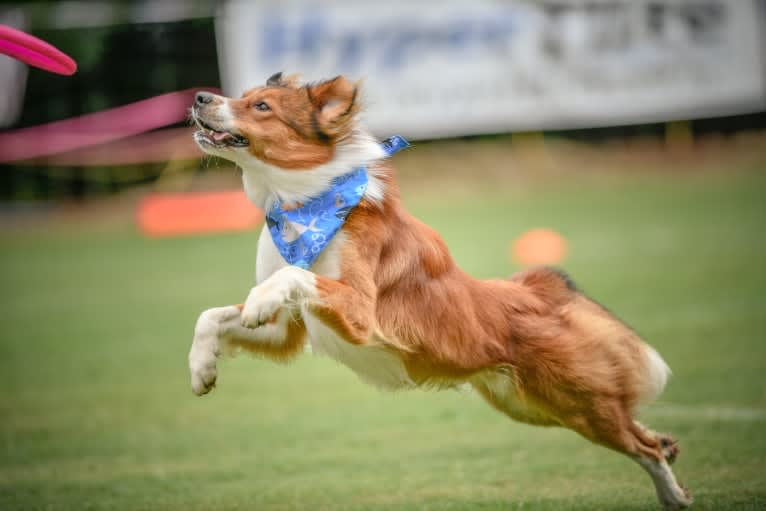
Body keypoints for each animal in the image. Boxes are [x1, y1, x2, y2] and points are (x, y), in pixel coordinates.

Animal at [188, 73, 696, 511]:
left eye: (261, 106)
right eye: (243, 96)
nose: (199, 97)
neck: (305, 206)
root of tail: (538, 290)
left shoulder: (360, 312)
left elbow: (290, 277)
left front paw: (256, 302)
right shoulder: (288, 330)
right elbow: (210, 315)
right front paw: (202, 369)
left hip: (576, 403)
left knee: (641, 445)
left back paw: (675, 494)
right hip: (530, 406)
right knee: (637, 427)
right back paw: (668, 449)